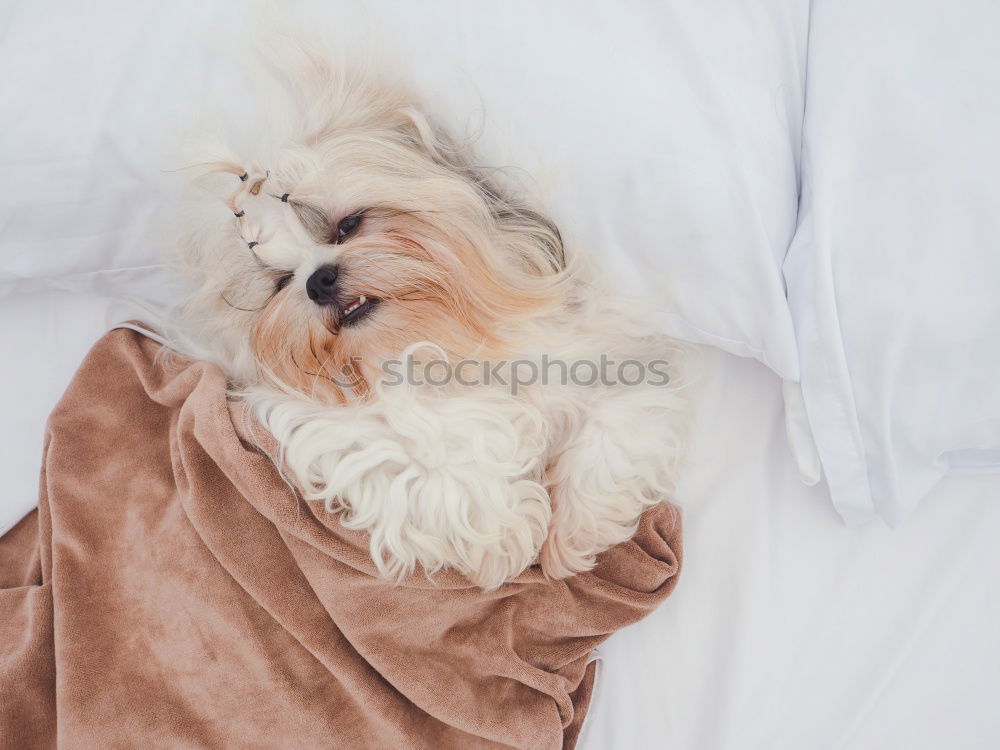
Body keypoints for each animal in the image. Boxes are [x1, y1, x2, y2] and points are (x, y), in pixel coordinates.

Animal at [164, 47, 692, 592]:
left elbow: (615, 419)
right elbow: (433, 451)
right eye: (281, 282)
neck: (431, 337)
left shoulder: (602, 357)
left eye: (347, 226)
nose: (318, 280)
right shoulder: (327, 424)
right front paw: (503, 533)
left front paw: (575, 532)